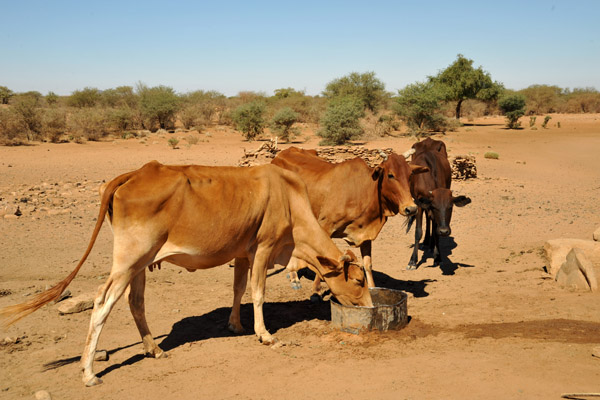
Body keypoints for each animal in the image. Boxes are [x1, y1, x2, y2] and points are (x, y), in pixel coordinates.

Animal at [0, 161, 372, 386]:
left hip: (141, 264)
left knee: (136, 303)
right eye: (357, 280)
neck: (291, 199)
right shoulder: (264, 248)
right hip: (128, 259)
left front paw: (235, 325)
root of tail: (136, 173)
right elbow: (257, 293)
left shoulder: (243, 253)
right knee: (102, 303)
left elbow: (238, 290)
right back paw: (89, 372)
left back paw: (154, 349)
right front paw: (264, 334)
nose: (370, 306)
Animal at [272, 147, 426, 294]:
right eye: (391, 175)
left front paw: (372, 288)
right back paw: (294, 278)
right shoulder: (325, 226)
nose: (411, 208)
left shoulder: (366, 233)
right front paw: (316, 290)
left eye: (410, 175)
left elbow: (368, 264)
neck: (364, 191)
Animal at [406, 136, 472, 270]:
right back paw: (426, 243)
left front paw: (437, 257)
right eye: (435, 207)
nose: (444, 231)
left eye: (450, 207)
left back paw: (430, 245)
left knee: (430, 221)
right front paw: (413, 261)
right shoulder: (421, 204)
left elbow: (435, 230)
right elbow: (418, 231)